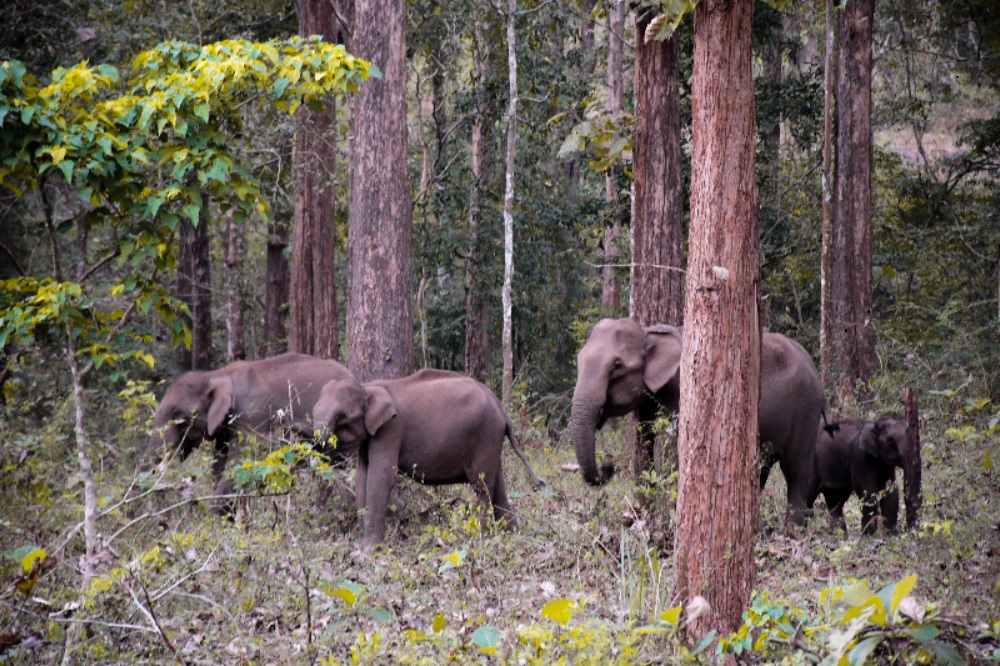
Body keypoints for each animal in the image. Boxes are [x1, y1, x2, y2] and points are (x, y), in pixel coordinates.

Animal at [314, 366, 544, 544]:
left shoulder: (390, 430)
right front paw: (362, 544)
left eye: (342, 416)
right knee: (497, 483)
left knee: (482, 487)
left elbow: (381, 477)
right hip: (492, 441)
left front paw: (369, 549)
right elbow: (363, 477)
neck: (368, 387)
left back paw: (481, 537)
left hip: (486, 435)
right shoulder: (371, 436)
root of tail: (499, 405)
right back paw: (512, 534)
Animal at [568, 316, 832, 524]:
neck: (648, 332)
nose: (608, 465)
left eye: (617, 366)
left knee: (796, 471)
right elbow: (644, 443)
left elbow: (674, 449)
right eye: (579, 360)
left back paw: (792, 529)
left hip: (805, 413)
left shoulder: (680, 390)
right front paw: (644, 511)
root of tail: (815, 371)